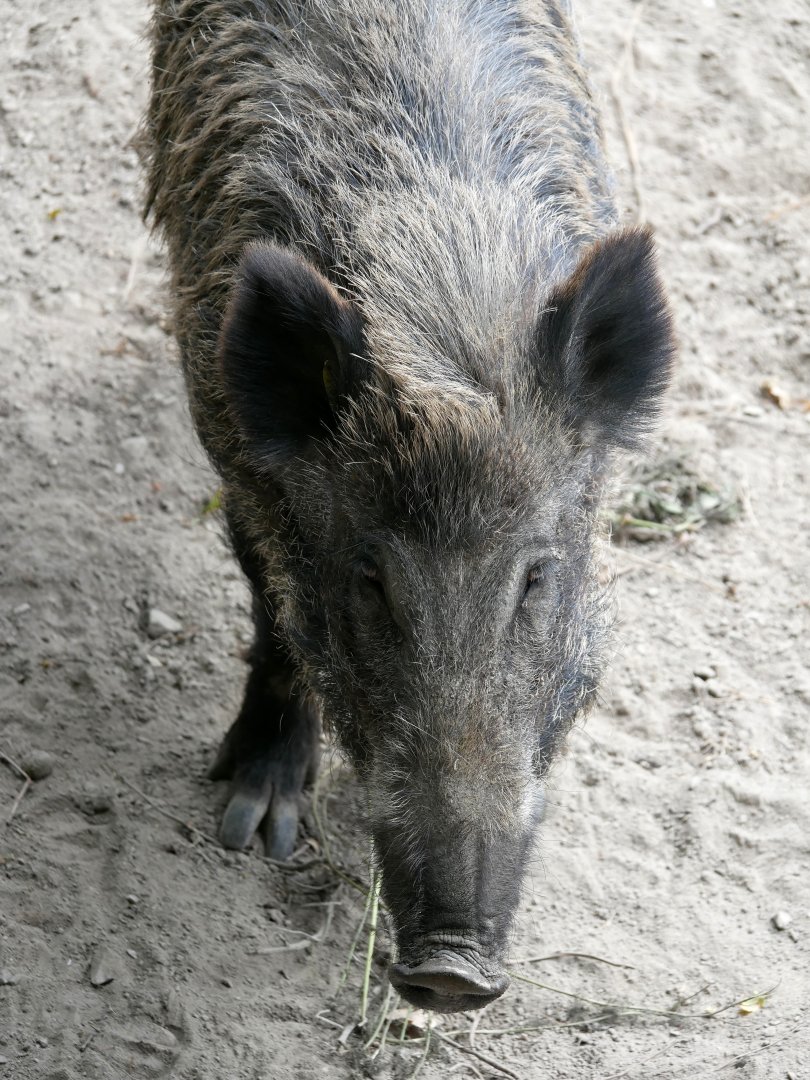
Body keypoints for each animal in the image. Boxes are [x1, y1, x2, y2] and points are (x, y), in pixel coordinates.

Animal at [139, 0, 675, 1012]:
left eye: (537, 576)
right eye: (370, 577)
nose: (449, 970)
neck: (449, 325)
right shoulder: (229, 438)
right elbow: (275, 615)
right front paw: (253, 828)